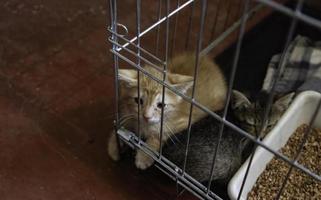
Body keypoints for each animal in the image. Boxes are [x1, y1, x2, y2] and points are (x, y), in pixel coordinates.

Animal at [108, 0, 320, 199]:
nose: (146, 116)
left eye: (161, 105)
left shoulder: (181, 124)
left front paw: (143, 156)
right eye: (138, 101)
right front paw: (114, 146)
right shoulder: (129, 113)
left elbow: (158, 136)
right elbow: (119, 126)